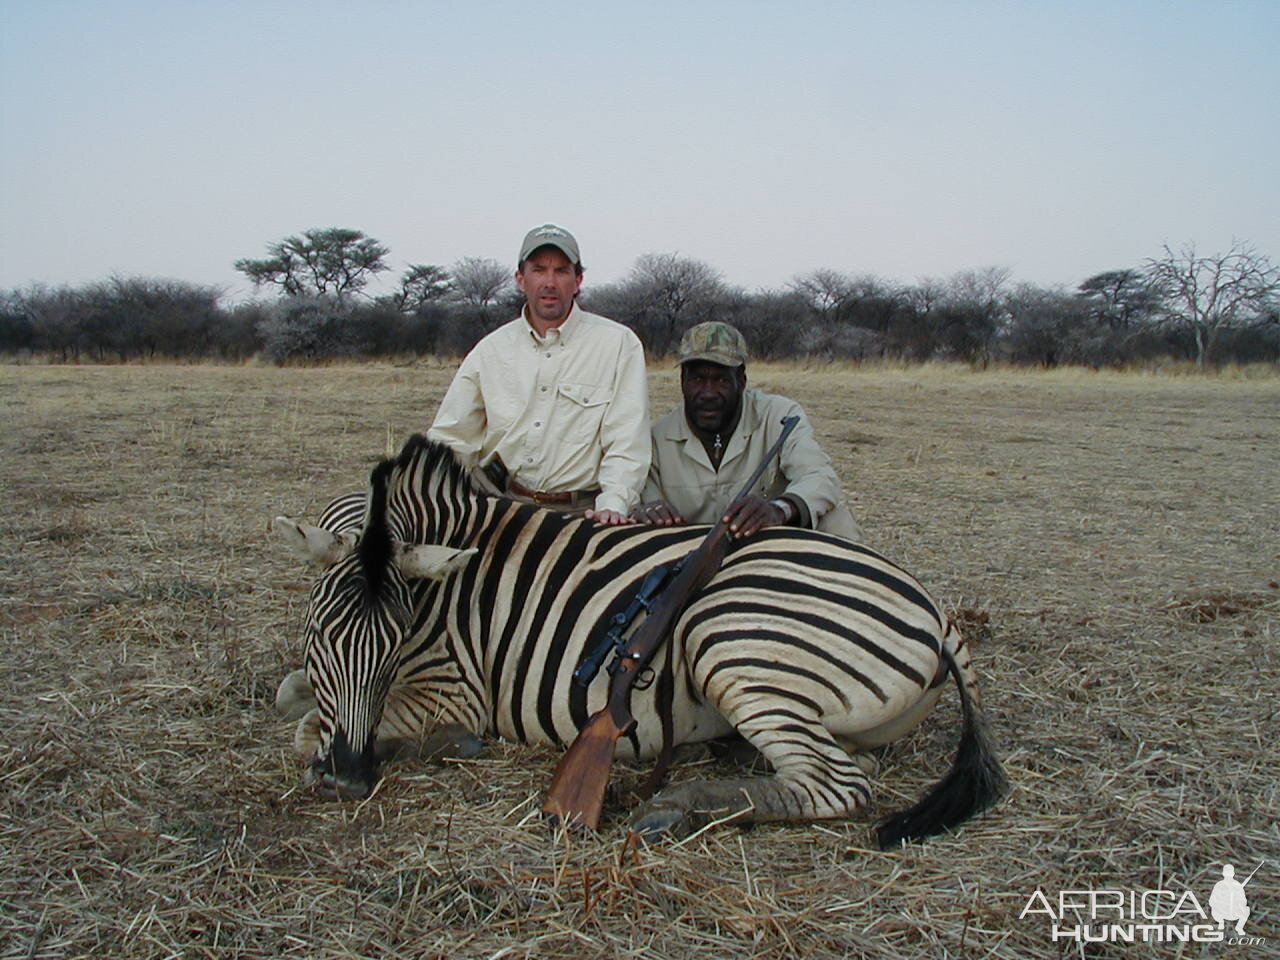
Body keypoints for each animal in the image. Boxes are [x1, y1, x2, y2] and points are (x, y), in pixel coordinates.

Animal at [275, 435, 1003, 849]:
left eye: (394, 640)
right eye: (319, 633)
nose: (348, 778)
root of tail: (938, 613)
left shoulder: (453, 693)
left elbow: (309, 729)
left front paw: (437, 746)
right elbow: (295, 696)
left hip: (728, 638)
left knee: (838, 785)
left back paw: (676, 807)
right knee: (845, 765)